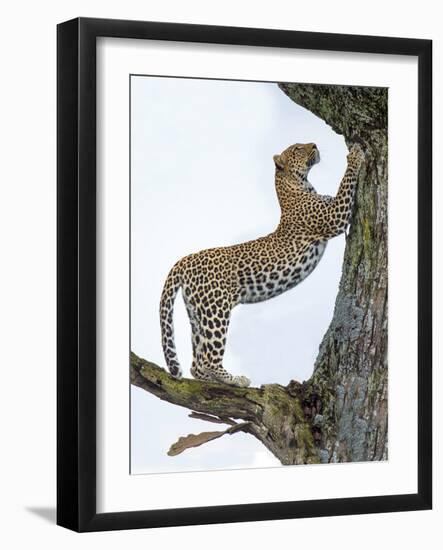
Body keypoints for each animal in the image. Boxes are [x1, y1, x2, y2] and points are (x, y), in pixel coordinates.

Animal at [159, 144, 364, 390]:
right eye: (297, 148)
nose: (314, 144)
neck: (297, 185)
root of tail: (185, 259)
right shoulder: (334, 216)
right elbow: (345, 183)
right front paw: (355, 155)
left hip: (197, 312)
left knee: (196, 363)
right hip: (216, 309)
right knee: (208, 359)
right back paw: (235, 380)